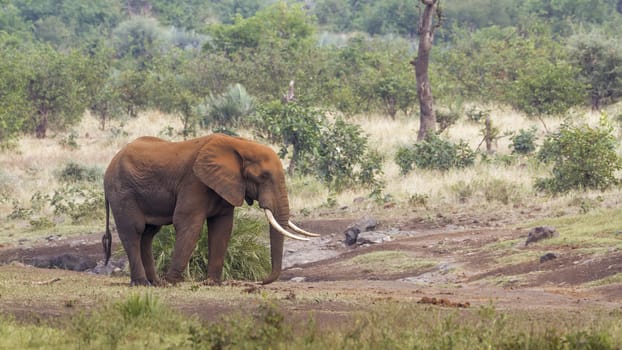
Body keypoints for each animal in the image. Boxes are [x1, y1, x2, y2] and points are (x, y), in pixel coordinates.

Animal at [104, 133, 320, 286]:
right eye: (264, 176)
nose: (260, 281)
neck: (240, 145)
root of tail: (109, 166)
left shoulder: (226, 184)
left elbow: (222, 228)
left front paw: (212, 283)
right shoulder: (194, 181)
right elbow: (189, 223)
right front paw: (172, 282)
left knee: (148, 234)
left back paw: (154, 283)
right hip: (122, 191)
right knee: (134, 231)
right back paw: (143, 283)